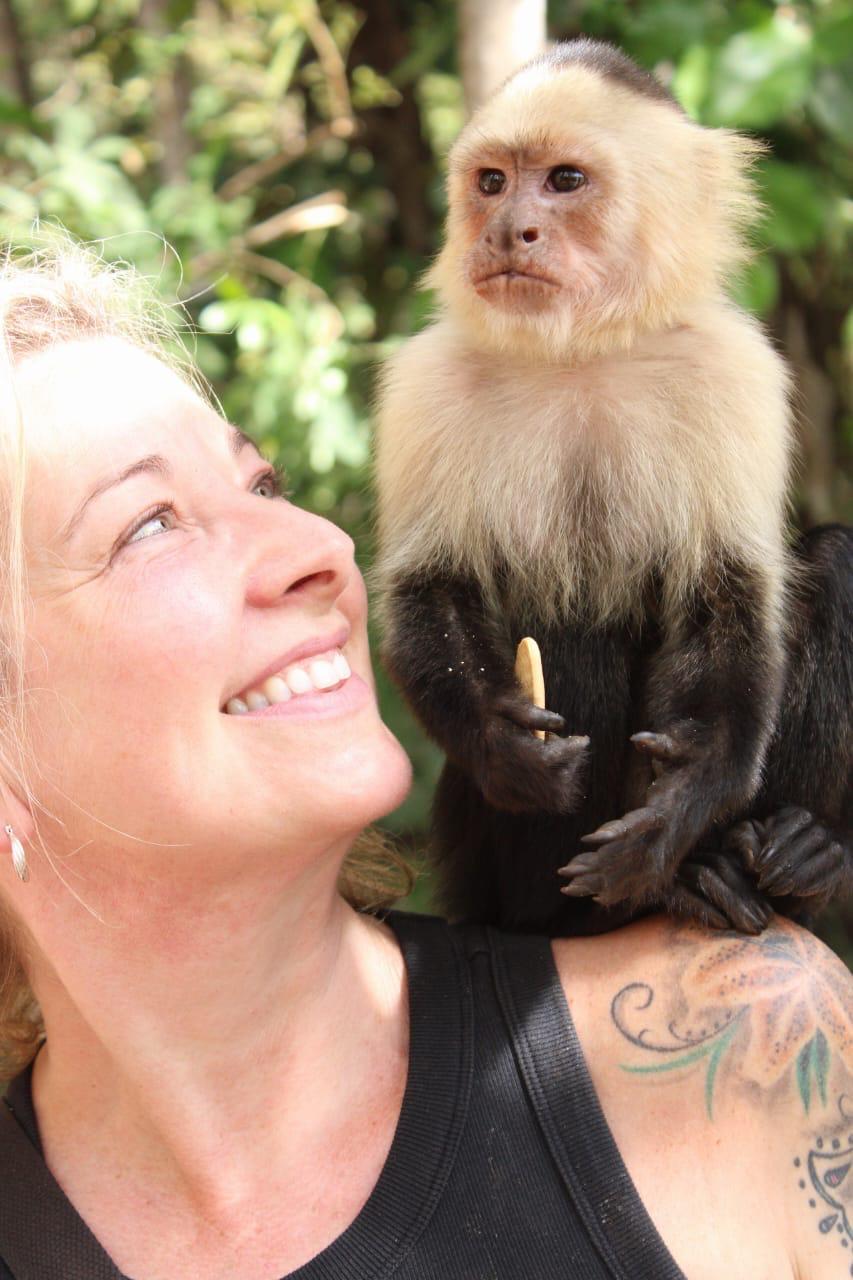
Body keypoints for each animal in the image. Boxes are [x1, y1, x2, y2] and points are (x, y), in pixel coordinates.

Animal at [373, 38, 852, 937]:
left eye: (564, 180)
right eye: (491, 181)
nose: (507, 229)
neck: (581, 351)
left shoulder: (733, 370)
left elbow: (728, 601)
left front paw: (685, 799)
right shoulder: (424, 383)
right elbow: (430, 594)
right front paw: (502, 741)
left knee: (836, 561)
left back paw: (786, 861)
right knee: (569, 621)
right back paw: (643, 893)